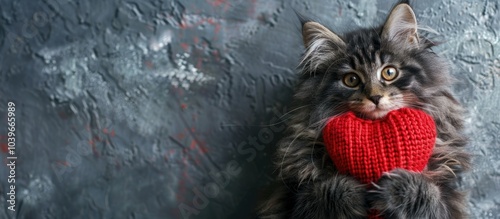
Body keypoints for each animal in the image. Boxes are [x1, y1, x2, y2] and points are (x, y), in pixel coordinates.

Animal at [260, 0, 470, 218]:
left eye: (389, 72)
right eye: (351, 80)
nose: (375, 97)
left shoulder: (449, 196)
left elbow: (426, 192)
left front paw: (393, 187)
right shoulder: (291, 198)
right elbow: (324, 190)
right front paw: (355, 190)